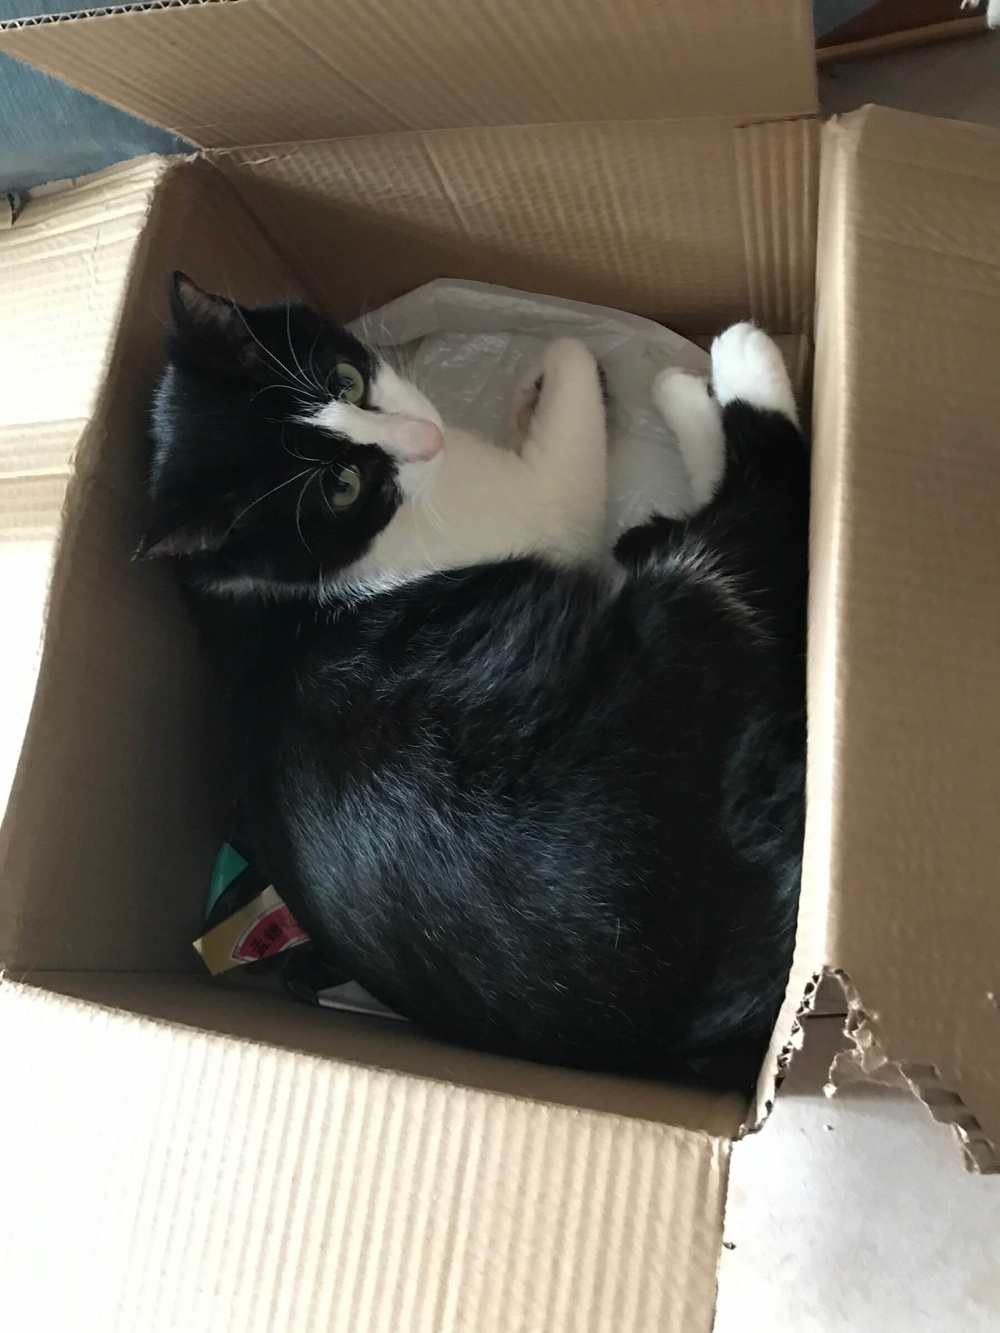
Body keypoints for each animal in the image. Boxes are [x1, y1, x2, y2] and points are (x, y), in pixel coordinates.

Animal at [141, 275, 810, 1087]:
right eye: (341, 486)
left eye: (347, 381)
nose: (426, 438)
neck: (273, 590)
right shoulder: (543, 508)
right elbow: (573, 361)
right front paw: (588, 370)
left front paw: (529, 393)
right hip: (695, 625)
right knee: (771, 498)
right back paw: (723, 366)